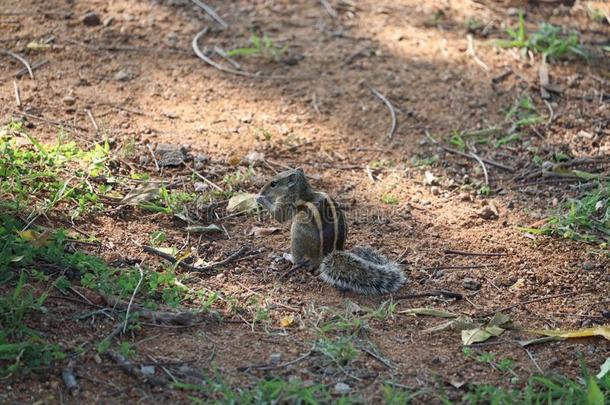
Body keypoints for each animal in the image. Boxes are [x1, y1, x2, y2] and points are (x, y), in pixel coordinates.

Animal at [254, 167, 406, 294]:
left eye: (273, 184)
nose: (261, 191)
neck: (303, 191)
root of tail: (326, 256)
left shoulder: (286, 202)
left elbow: (279, 216)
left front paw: (260, 198)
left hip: (297, 231)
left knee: (298, 259)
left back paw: (288, 257)